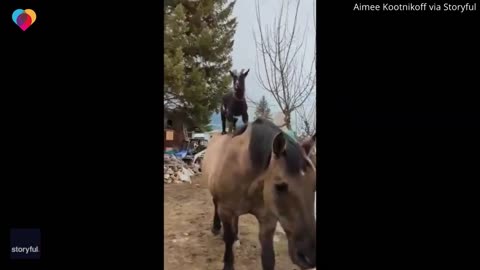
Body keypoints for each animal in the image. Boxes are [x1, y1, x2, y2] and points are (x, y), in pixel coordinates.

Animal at [202, 118, 316, 270]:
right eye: (280, 186)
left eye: (314, 186)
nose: (309, 256)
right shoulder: (225, 210)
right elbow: (228, 238)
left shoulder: (268, 219)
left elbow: (268, 258)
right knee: (215, 204)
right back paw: (216, 228)